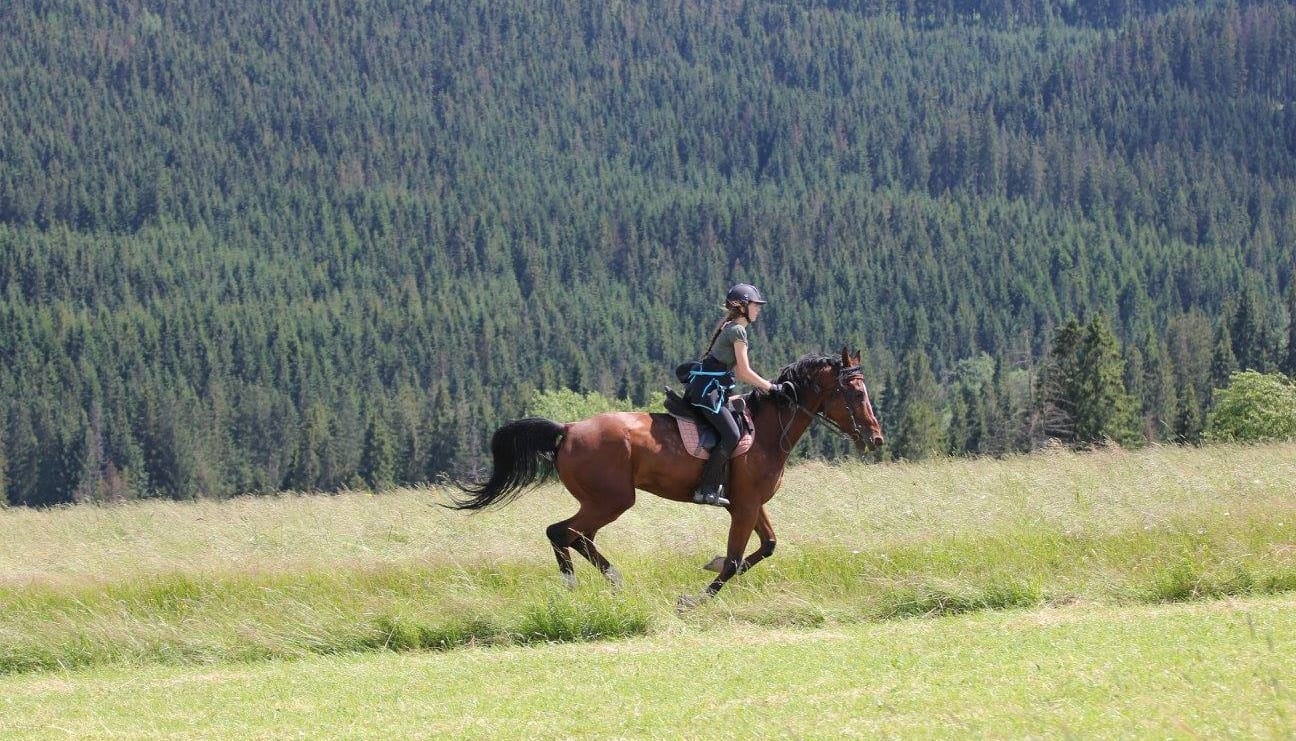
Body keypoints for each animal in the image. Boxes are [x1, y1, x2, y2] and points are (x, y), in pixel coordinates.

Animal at [451, 347, 886, 608]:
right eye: (857, 394)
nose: (876, 438)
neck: (766, 430)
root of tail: (568, 428)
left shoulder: (750, 504)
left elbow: (765, 548)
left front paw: (710, 567)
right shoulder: (744, 506)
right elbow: (734, 560)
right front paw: (693, 602)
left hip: (602, 501)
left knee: (578, 536)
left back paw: (608, 582)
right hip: (612, 500)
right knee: (562, 533)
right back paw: (582, 585)